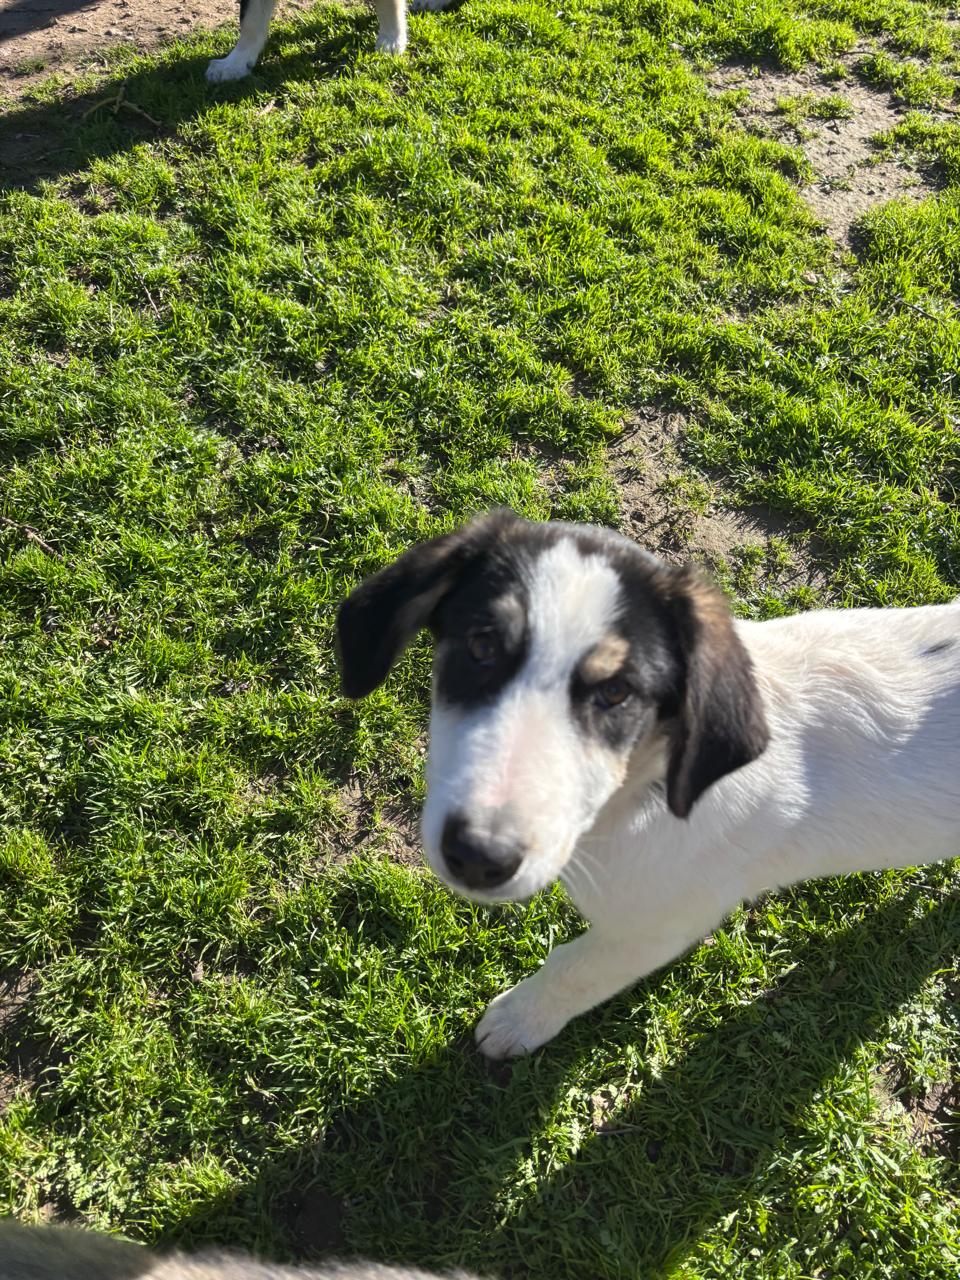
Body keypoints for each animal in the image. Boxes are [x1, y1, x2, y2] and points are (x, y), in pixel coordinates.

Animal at [337, 511, 960, 1059]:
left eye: (617, 693)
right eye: (481, 646)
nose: (478, 856)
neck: (640, 792)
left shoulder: (660, 925)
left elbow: (576, 969)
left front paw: (518, 1020)